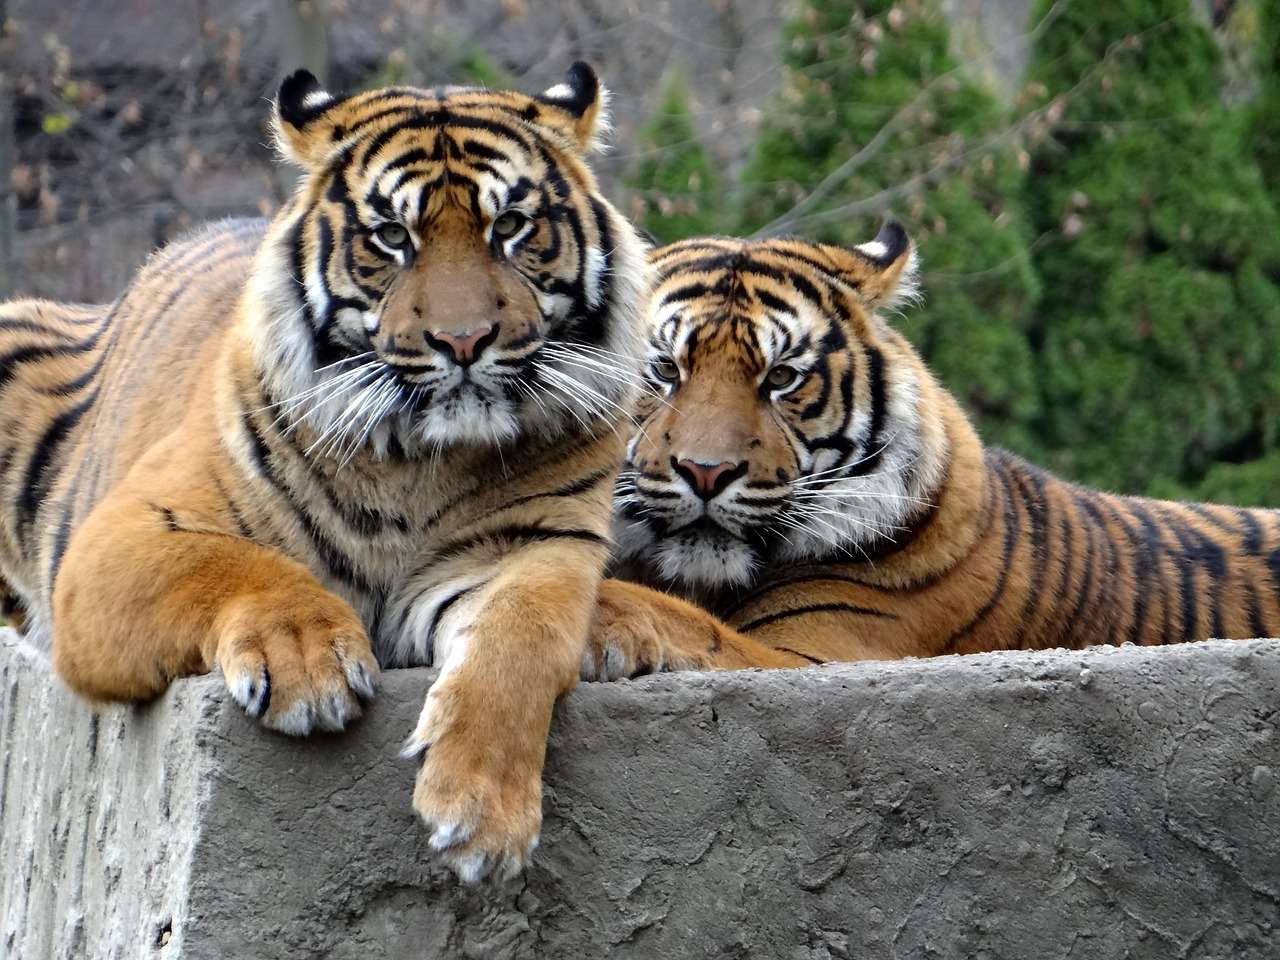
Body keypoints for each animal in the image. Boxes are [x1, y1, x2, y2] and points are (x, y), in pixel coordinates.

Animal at [0, 64, 650, 885]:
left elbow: (519, 643)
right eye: (393, 237)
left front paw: (481, 814)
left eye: (509, 227)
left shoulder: (537, 547)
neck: (422, 459)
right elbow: (239, 564)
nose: (463, 341)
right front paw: (306, 663)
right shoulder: (119, 538)